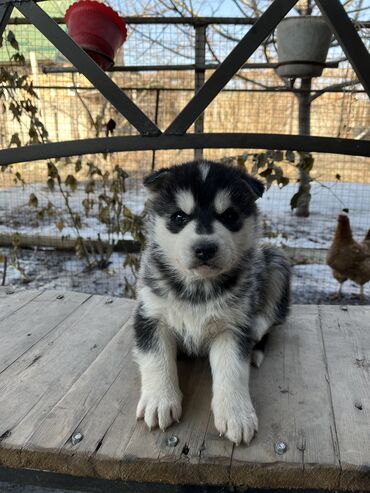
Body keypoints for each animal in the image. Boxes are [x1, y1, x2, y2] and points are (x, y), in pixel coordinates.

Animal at [134, 160, 290, 444]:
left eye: (229, 216)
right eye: (179, 217)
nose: (205, 248)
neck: (198, 288)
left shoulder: (233, 327)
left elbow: (233, 370)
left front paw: (237, 414)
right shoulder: (150, 314)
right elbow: (155, 358)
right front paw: (159, 401)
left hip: (275, 261)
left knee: (271, 319)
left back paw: (257, 333)